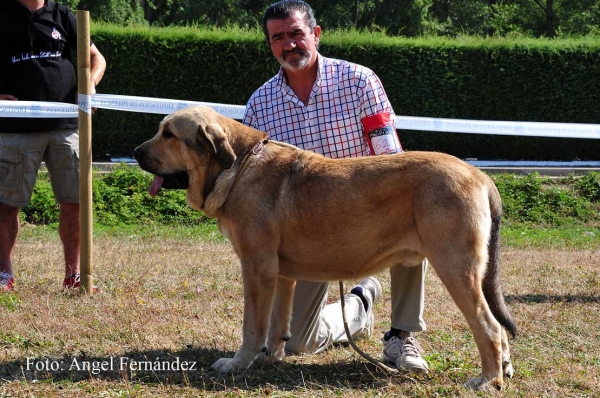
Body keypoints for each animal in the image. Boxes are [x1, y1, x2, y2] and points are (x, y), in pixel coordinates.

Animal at [135, 104, 516, 390]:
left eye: (169, 135)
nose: (136, 152)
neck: (238, 165)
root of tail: (481, 176)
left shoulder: (256, 268)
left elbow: (252, 325)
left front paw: (238, 362)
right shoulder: (280, 274)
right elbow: (277, 322)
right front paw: (271, 356)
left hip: (454, 267)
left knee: (489, 327)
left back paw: (486, 380)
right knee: (497, 326)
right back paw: (504, 368)